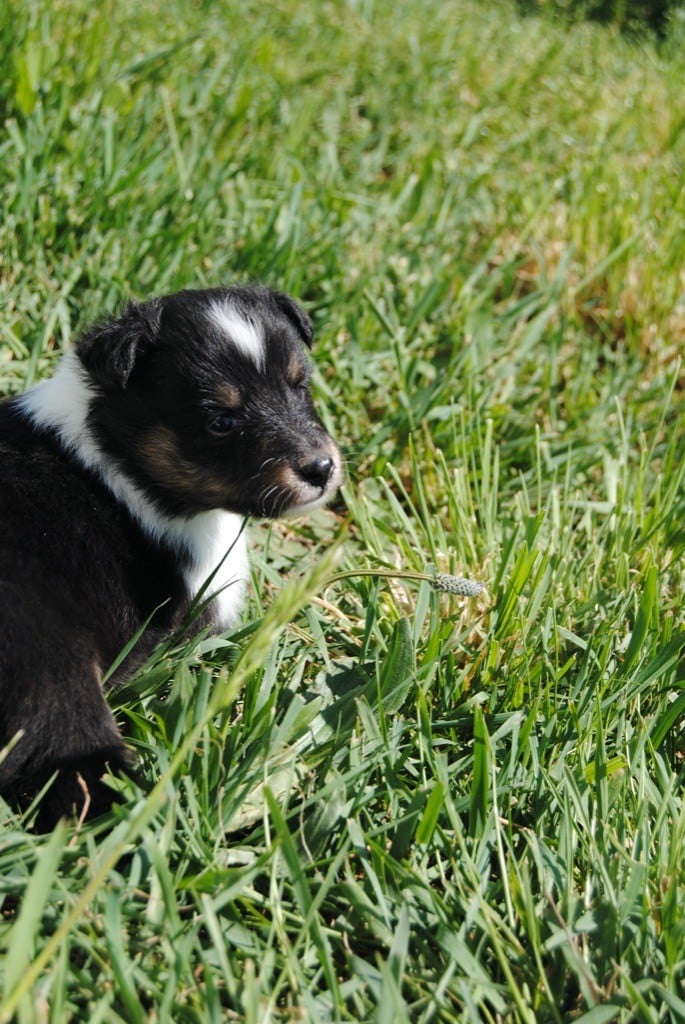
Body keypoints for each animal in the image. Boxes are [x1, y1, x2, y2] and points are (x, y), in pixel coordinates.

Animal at [0, 282, 341, 823]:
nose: (321, 468)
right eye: (222, 420)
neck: (116, 456)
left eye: (300, 386)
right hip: (47, 656)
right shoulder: (207, 605)